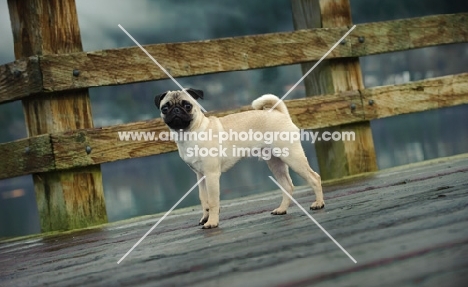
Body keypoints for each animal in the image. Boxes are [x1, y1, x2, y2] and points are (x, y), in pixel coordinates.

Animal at [155, 88, 324, 230]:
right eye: (165, 108)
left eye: (187, 105)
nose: (176, 110)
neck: (190, 132)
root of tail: (279, 113)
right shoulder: (200, 176)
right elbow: (204, 199)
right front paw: (205, 217)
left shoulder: (211, 175)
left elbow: (213, 201)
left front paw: (212, 222)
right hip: (275, 162)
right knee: (288, 186)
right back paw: (282, 209)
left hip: (292, 156)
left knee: (314, 178)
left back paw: (318, 204)